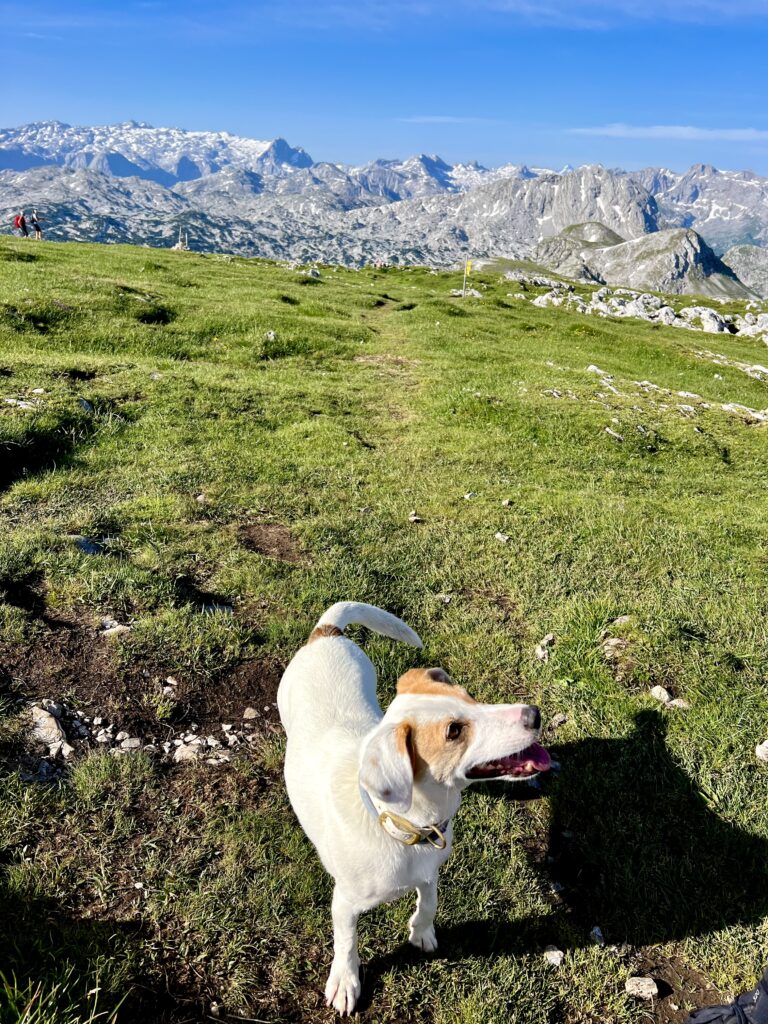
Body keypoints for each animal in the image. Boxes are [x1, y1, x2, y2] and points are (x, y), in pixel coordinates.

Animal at [280, 598, 548, 1015]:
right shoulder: (344, 903)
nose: (534, 714)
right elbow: (347, 942)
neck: (405, 826)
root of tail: (326, 633)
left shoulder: (431, 870)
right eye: (454, 731)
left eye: (470, 698)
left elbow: (430, 902)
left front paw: (421, 931)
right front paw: (345, 982)